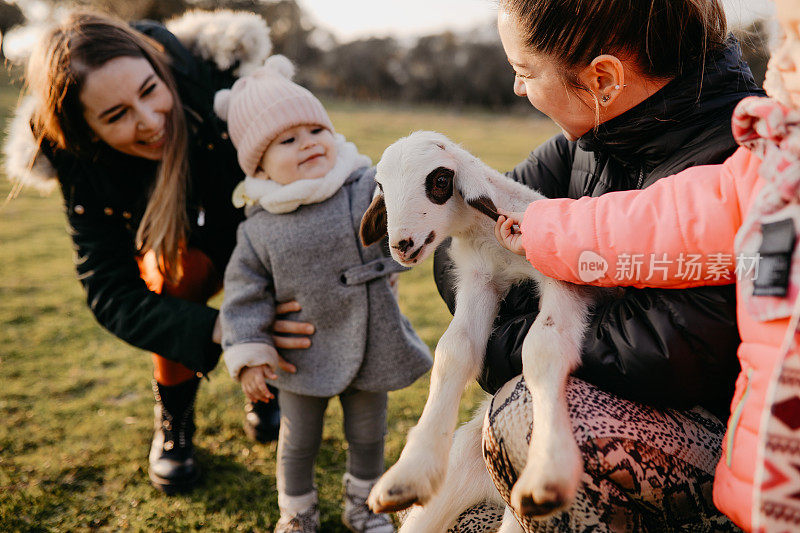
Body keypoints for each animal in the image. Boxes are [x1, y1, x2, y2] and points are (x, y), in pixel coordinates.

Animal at [360, 131, 600, 528]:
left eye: (441, 180)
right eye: (380, 186)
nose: (402, 245)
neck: (491, 238)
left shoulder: (562, 284)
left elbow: (544, 347)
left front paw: (549, 469)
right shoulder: (478, 279)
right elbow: (454, 352)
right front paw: (410, 471)